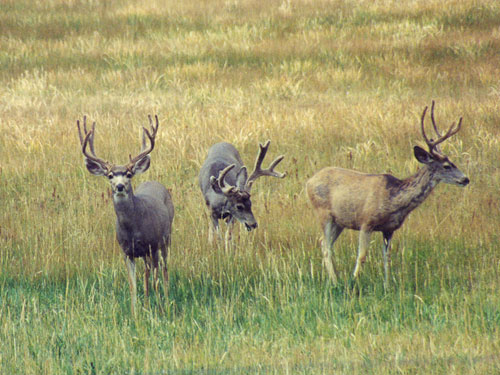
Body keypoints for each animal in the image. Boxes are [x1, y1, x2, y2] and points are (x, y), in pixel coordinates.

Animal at [76, 116, 174, 316]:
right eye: (109, 175)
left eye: (128, 174)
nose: (120, 186)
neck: (133, 229)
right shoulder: (127, 252)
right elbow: (133, 285)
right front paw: (135, 314)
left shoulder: (151, 245)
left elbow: (154, 281)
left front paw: (158, 311)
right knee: (150, 272)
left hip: (166, 238)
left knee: (164, 270)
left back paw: (165, 301)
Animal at [306, 101, 470, 290]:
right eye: (446, 166)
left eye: (453, 162)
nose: (466, 179)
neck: (394, 200)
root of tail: (309, 182)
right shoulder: (366, 222)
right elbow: (362, 255)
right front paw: (354, 283)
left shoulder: (389, 229)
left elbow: (387, 258)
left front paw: (387, 286)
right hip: (323, 213)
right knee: (325, 245)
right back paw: (334, 281)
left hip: (340, 221)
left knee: (326, 243)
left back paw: (334, 278)